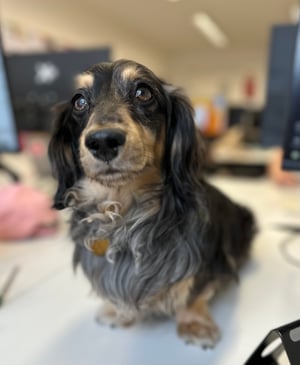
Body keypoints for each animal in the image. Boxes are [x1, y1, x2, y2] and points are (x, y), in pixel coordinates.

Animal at [48, 59, 255, 346]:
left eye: (143, 92)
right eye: (78, 101)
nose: (103, 141)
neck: (124, 214)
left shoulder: (210, 261)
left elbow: (195, 291)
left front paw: (195, 323)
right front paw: (114, 311)